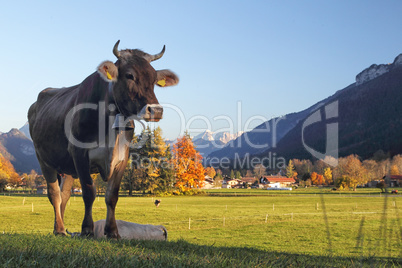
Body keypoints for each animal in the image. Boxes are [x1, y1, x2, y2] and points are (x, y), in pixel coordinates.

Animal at [27, 40, 178, 239]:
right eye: (130, 75)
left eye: (154, 79)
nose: (156, 110)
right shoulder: (79, 153)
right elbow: (89, 193)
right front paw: (87, 229)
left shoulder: (123, 157)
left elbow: (112, 195)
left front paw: (112, 231)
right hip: (43, 159)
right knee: (54, 194)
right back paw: (59, 229)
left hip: (67, 168)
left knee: (64, 196)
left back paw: (60, 228)